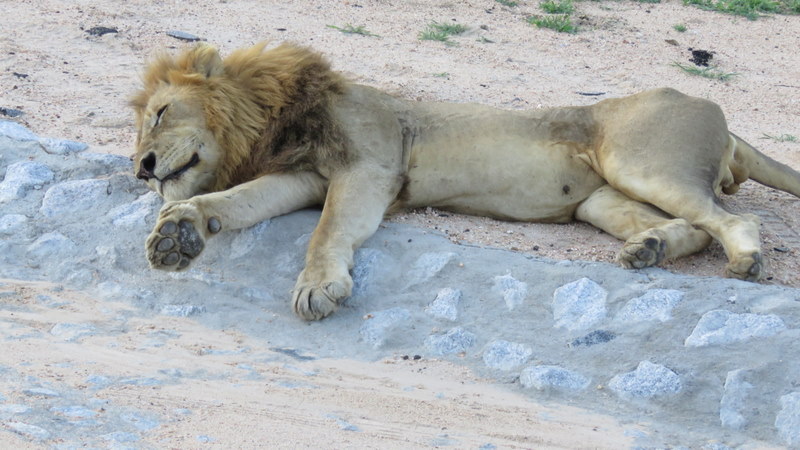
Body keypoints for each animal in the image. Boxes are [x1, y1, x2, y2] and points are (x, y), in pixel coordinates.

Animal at [131, 42, 800, 320]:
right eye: (138, 131)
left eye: (159, 114)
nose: (142, 168)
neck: (268, 123)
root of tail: (719, 113)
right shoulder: (304, 178)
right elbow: (237, 200)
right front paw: (179, 232)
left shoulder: (370, 166)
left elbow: (325, 234)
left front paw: (319, 288)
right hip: (603, 201)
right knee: (690, 225)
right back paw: (649, 248)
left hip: (639, 163)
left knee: (736, 218)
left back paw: (744, 260)